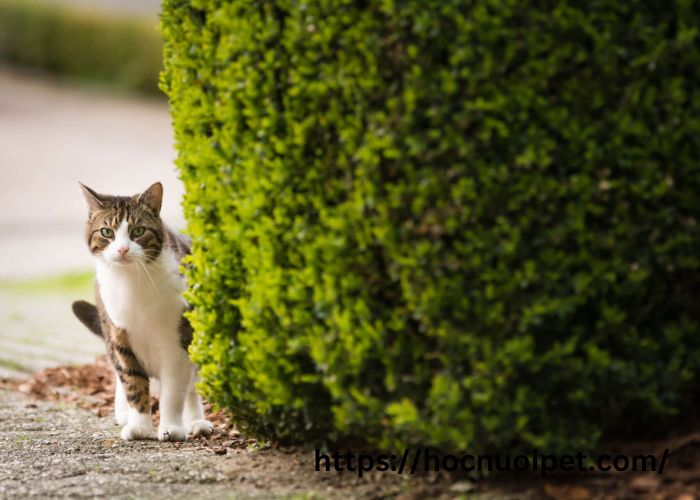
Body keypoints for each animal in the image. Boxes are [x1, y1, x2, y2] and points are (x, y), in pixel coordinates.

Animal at [71, 183, 215, 442]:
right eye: (106, 232)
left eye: (138, 230)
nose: (122, 249)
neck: (132, 282)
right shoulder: (119, 337)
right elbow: (133, 383)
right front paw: (139, 425)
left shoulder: (178, 341)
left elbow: (174, 391)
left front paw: (171, 427)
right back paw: (124, 413)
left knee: (191, 387)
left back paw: (196, 422)